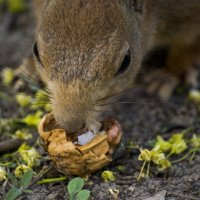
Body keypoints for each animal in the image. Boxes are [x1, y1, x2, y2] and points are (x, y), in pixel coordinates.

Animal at [29, 0, 200, 134]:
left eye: (126, 62)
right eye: (35, 50)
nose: (70, 124)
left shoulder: (188, 13)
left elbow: (186, 47)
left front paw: (166, 76)